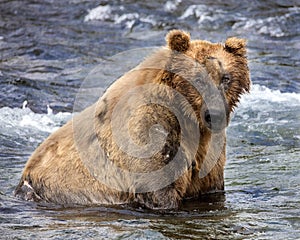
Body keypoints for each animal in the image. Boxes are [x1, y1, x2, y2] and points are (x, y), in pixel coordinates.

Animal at [14, 29, 251, 210]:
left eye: (225, 78)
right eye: (197, 78)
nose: (215, 115)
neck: (189, 119)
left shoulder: (208, 150)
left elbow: (210, 186)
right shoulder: (149, 130)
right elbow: (158, 187)